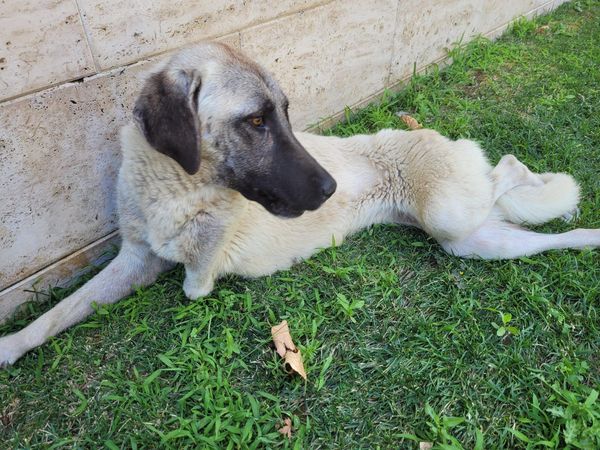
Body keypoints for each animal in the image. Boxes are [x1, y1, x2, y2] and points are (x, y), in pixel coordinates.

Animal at [1, 40, 600, 368]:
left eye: (286, 114)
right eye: (256, 120)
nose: (332, 189)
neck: (175, 185)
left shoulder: (198, 272)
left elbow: (193, 283)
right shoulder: (132, 259)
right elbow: (62, 311)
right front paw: (12, 344)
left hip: (451, 216)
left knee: (508, 168)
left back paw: (540, 183)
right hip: (473, 241)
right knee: (531, 218)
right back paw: (585, 232)